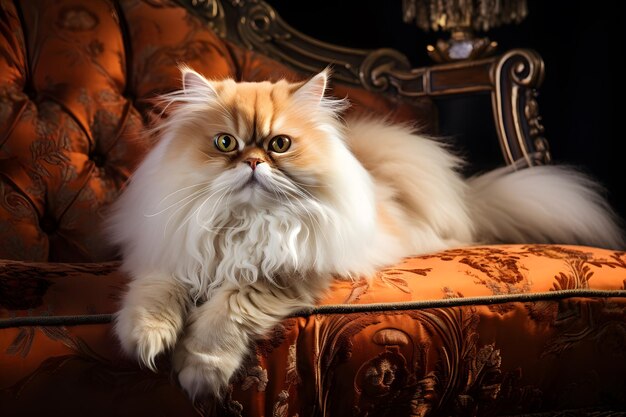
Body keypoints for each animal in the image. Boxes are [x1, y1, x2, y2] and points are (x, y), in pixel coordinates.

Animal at [109, 66, 620, 398]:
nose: (253, 162)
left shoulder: (282, 275)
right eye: (225, 143)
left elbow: (223, 317)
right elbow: (155, 296)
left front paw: (197, 372)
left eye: (279, 145)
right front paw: (145, 342)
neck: (246, 224)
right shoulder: (173, 257)